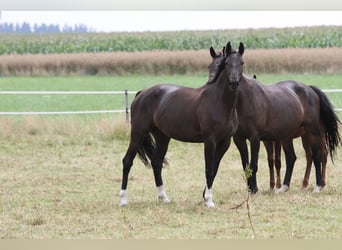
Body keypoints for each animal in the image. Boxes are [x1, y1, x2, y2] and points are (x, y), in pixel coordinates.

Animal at [119, 42, 243, 207]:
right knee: (127, 161)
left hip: (162, 137)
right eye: (228, 63)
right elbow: (209, 169)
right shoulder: (210, 141)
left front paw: (206, 196)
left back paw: (164, 197)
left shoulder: (225, 142)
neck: (220, 103)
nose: (234, 82)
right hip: (138, 133)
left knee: (156, 163)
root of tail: (142, 93)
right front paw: (209, 201)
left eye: (242, 63)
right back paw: (123, 199)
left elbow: (214, 169)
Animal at [210, 44, 340, 193]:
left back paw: (318, 186)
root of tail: (310, 90)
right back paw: (284, 187)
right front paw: (251, 188)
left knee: (317, 155)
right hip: (287, 137)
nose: (234, 83)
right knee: (292, 158)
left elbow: (254, 164)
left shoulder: (255, 138)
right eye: (226, 63)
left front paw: (254, 189)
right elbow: (246, 165)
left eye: (241, 63)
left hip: (312, 132)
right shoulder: (240, 139)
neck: (246, 100)